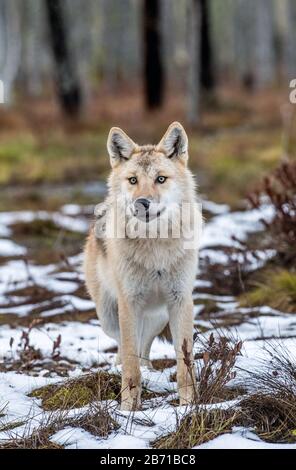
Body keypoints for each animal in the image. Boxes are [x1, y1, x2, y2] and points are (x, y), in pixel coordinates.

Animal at [83, 122, 201, 412]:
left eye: (161, 179)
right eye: (133, 180)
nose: (142, 203)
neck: (155, 247)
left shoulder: (181, 301)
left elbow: (185, 365)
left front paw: (188, 406)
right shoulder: (129, 303)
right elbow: (130, 365)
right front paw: (128, 410)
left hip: (157, 317)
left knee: (145, 347)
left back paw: (150, 371)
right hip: (109, 317)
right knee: (124, 348)